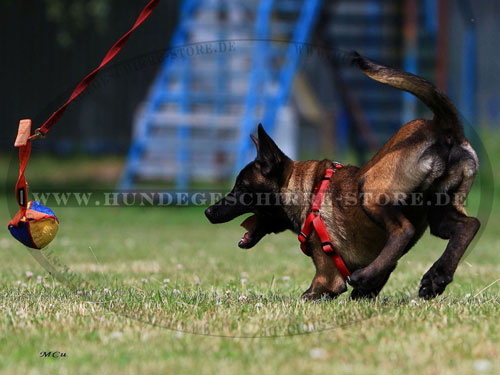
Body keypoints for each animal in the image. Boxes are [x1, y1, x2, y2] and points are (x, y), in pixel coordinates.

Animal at [204, 52, 480, 300]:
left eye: (241, 188)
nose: (208, 212)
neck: (308, 191)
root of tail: (442, 126)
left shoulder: (326, 280)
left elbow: (310, 293)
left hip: (370, 190)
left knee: (404, 229)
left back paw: (370, 274)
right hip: (439, 211)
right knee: (469, 225)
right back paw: (437, 277)